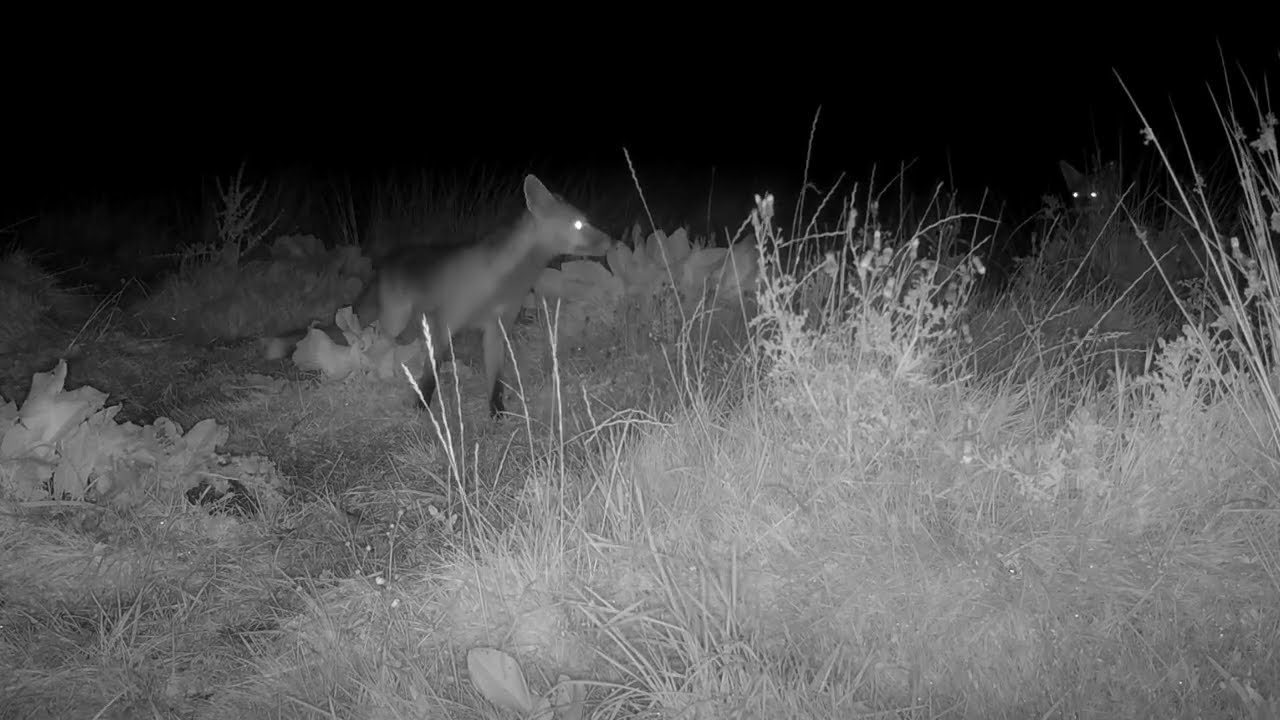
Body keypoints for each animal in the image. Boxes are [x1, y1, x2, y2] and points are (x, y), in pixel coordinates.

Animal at [266, 174, 616, 418]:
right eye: (578, 224)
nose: (612, 242)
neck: (500, 282)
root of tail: (386, 264)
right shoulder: (447, 322)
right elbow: (431, 371)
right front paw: (422, 405)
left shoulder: (497, 328)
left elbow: (496, 378)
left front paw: (497, 413)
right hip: (394, 323)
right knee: (375, 345)